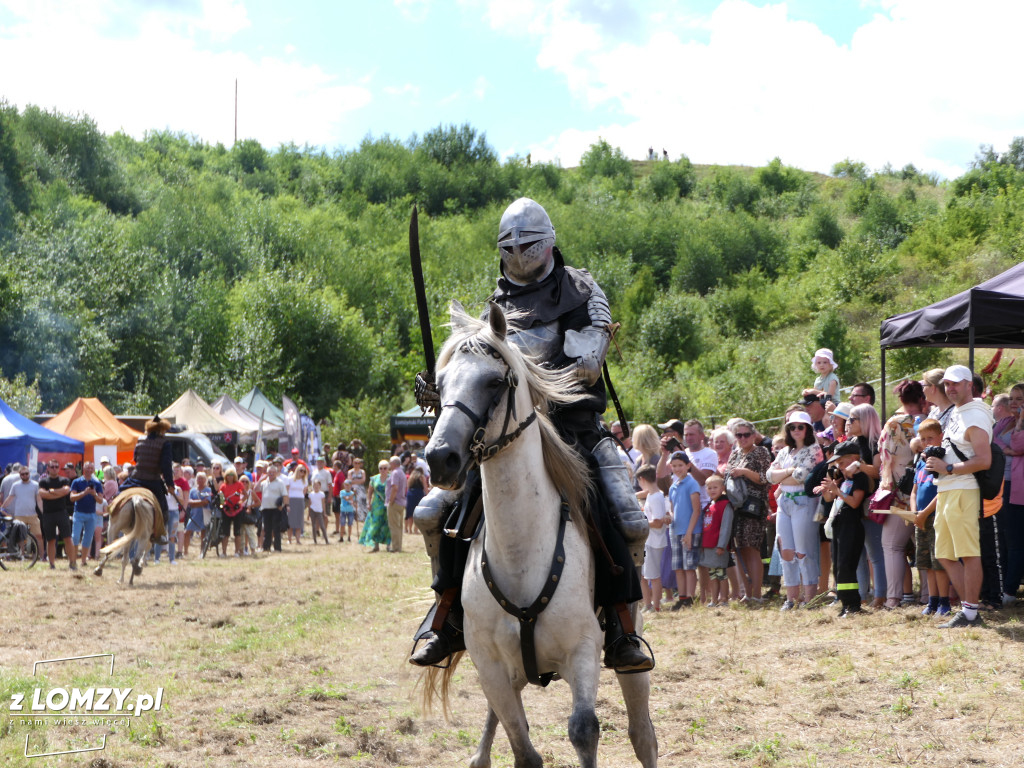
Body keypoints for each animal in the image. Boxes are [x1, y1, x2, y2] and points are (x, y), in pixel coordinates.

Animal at [421, 303, 655, 765]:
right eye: (440, 384)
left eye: (494, 382)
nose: (440, 458)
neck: (521, 552)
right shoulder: (490, 666)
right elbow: (522, 746)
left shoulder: (582, 652)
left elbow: (584, 730)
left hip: (628, 649)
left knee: (643, 735)